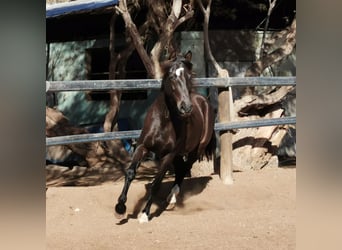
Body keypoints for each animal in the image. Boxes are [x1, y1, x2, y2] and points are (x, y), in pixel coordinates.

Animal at [115, 51, 216, 223]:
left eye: (189, 76)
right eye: (172, 76)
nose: (186, 107)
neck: (164, 120)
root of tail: (204, 102)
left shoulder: (168, 155)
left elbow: (156, 183)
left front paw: (144, 214)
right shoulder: (142, 147)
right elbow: (130, 173)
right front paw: (120, 208)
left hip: (195, 151)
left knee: (184, 169)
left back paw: (173, 196)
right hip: (178, 154)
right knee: (181, 168)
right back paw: (170, 197)